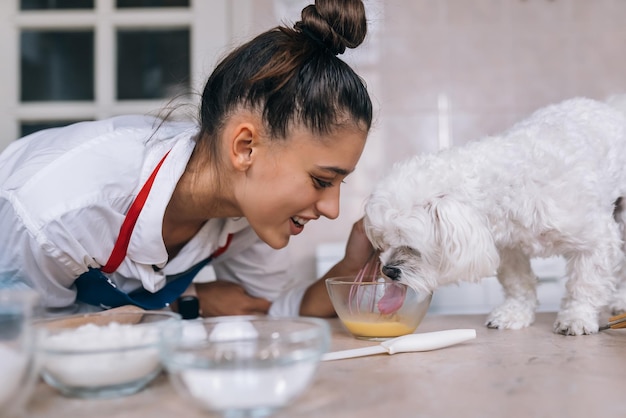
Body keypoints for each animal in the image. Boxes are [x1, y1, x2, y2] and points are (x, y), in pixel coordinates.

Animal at [360, 96, 624, 334]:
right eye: (384, 243)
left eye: (411, 245)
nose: (387, 271)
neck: (505, 185)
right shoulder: (509, 249)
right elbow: (517, 283)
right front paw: (513, 313)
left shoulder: (594, 240)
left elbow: (584, 283)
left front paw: (576, 317)